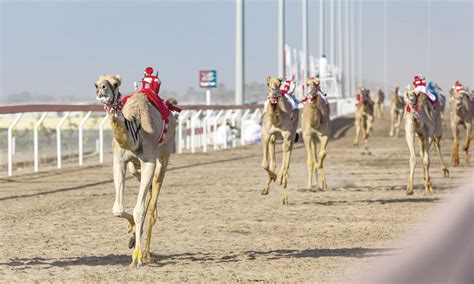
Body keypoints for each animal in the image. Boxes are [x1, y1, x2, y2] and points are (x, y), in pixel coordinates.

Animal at [94, 74, 176, 268]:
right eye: (95, 84)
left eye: (115, 84)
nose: (101, 90)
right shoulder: (119, 161)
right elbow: (117, 208)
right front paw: (131, 228)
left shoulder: (149, 161)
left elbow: (139, 211)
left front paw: (137, 257)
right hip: (134, 167)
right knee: (147, 196)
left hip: (164, 154)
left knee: (151, 206)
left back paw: (146, 253)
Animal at [262, 75, 298, 204]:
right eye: (268, 83)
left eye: (279, 83)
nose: (273, 92)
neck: (277, 120)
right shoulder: (266, 135)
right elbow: (265, 163)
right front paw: (273, 178)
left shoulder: (287, 135)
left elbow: (285, 164)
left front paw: (278, 178)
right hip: (273, 139)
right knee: (273, 163)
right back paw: (266, 188)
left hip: (292, 135)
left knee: (287, 165)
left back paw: (285, 197)